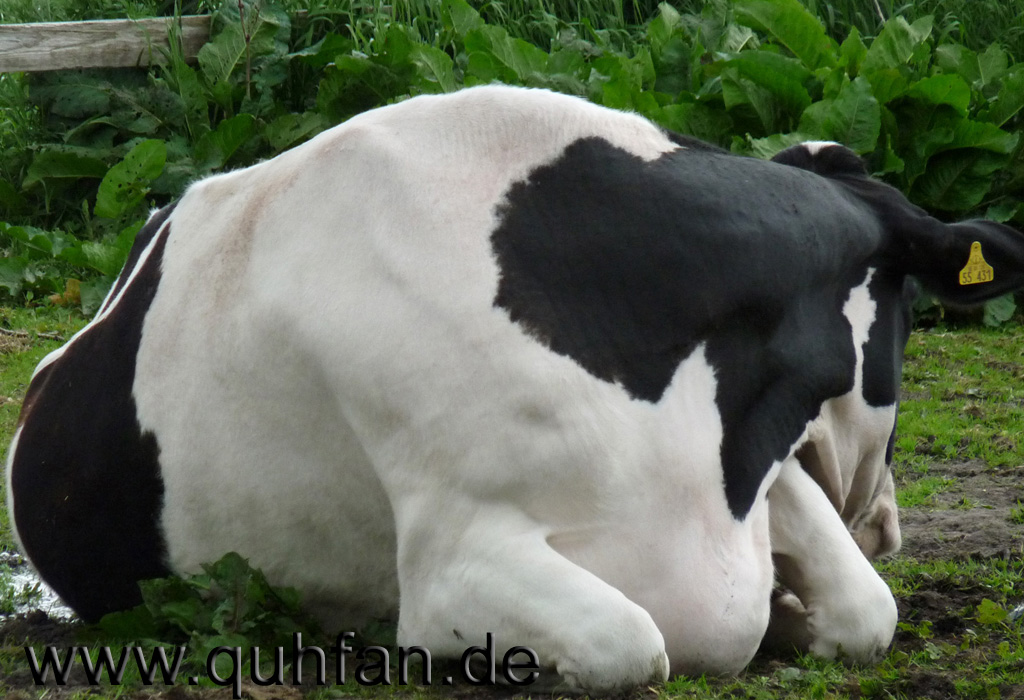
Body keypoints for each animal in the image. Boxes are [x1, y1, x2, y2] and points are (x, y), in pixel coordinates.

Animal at [6, 84, 1024, 691]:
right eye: (905, 313)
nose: (886, 521)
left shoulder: (750, 480)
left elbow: (866, 615)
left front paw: (792, 613)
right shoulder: (456, 567)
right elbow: (631, 644)